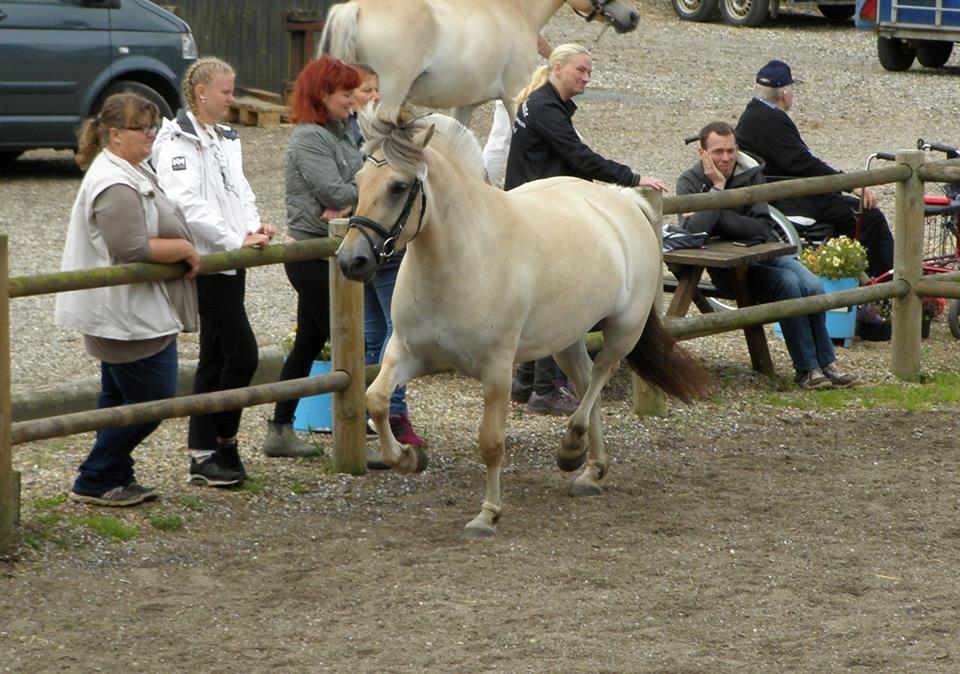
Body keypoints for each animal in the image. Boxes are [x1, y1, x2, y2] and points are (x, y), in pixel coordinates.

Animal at [318, 0, 640, 124]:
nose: (633, 16)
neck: (517, 11)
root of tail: (355, 7)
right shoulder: (515, 96)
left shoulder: (465, 105)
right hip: (389, 98)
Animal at [338, 113, 704, 540]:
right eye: (359, 181)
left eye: (398, 186)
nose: (351, 261)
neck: (462, 260)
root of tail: (623, 200)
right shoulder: (408, 353)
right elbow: (376, 400)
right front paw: (410, 458)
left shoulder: (497, 368)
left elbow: (491, 443)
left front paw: (487, 516)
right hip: (564, 338)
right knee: (585, 383)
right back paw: (590, 470)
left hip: (622, 330)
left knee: (600, 374)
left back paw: (571, 449)